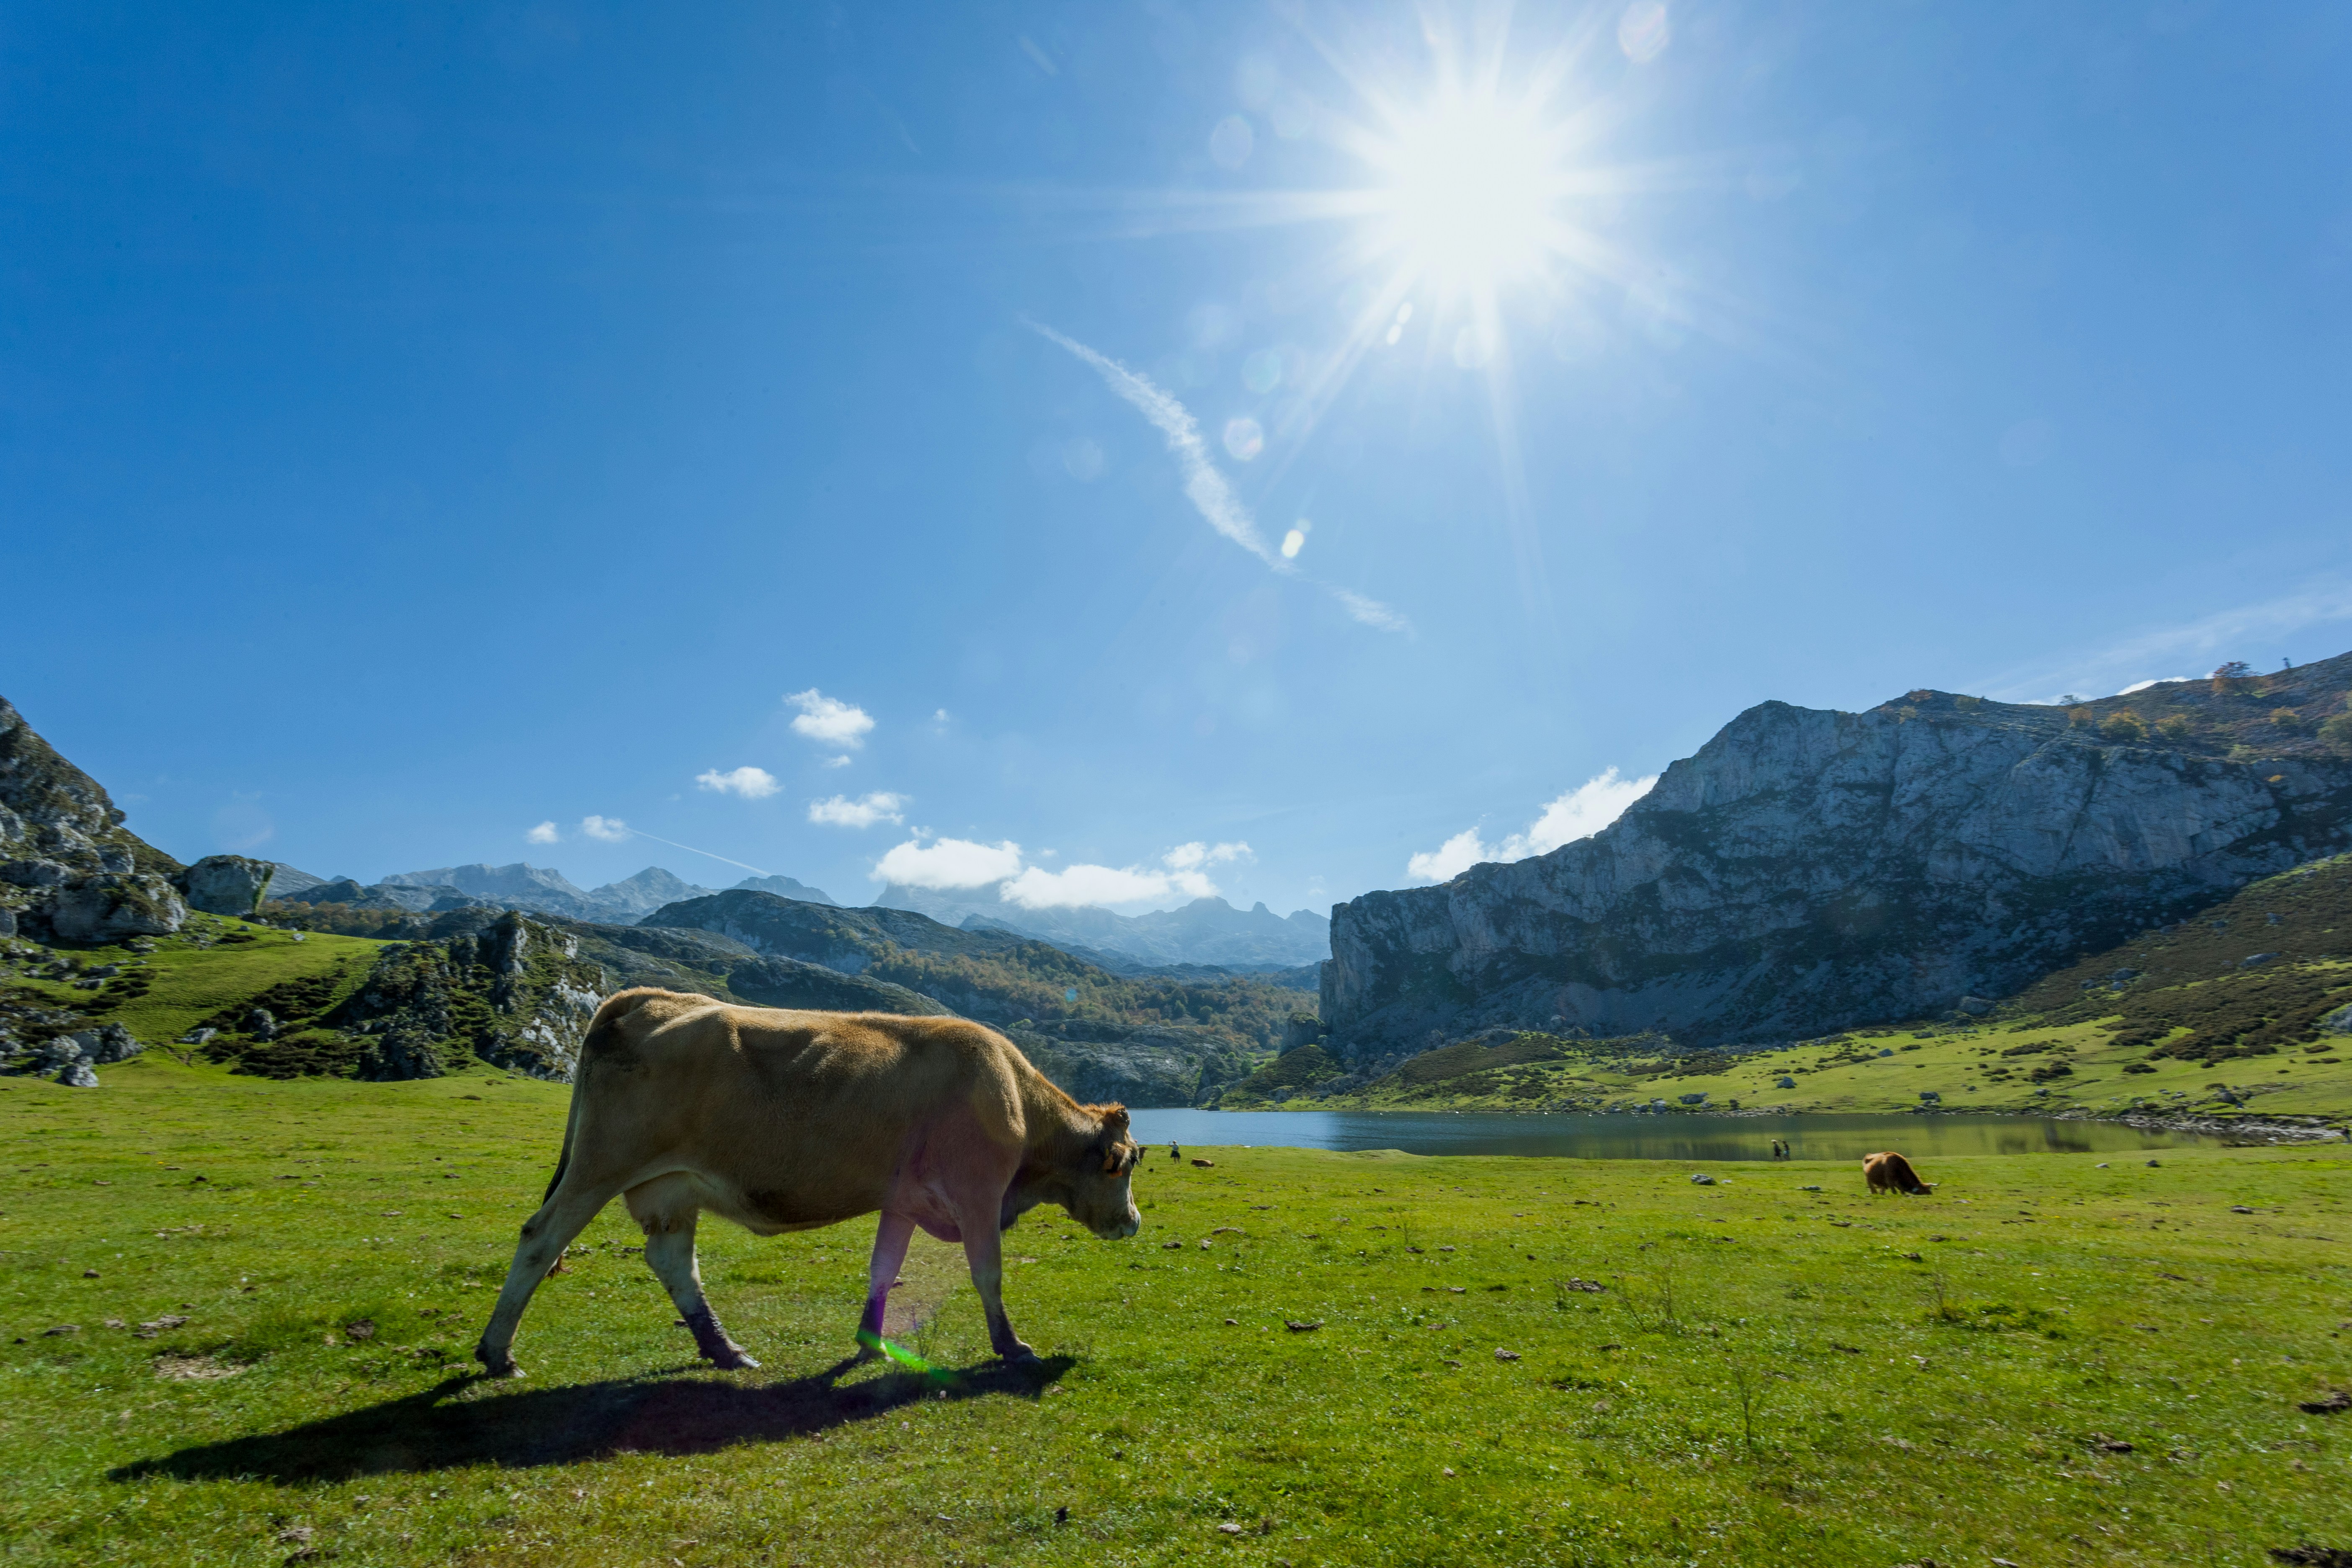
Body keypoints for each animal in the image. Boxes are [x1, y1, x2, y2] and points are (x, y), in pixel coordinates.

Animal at [472, 987, 1143, 1382]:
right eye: (1131, 1163)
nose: (1133, 1222)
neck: (1016, 1099)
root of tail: (652, 997)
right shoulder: (978, 1194)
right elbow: (988, 1274)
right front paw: (1012, 1345)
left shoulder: (903, 1200)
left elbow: (883, 1269)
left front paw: (872, 1344)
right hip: (602, 1164)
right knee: (540, 1240)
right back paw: (497, 1353)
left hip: (671, 1187)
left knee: (673, 1262)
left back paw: (724, 1349)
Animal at [1862, 1152, 1938, 1203]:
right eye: (1924, 1191)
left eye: (1930, 1190)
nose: (1931, 1195)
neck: (1897, 1166)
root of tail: (1869, 1155)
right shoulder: (1890, 1182)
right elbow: (1895, 1192)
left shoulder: (1898, 1184)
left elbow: (1903, 1193)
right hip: (1869, 1180)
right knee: (1873, 1191)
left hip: (1882, 1184)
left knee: (1882, 1192)